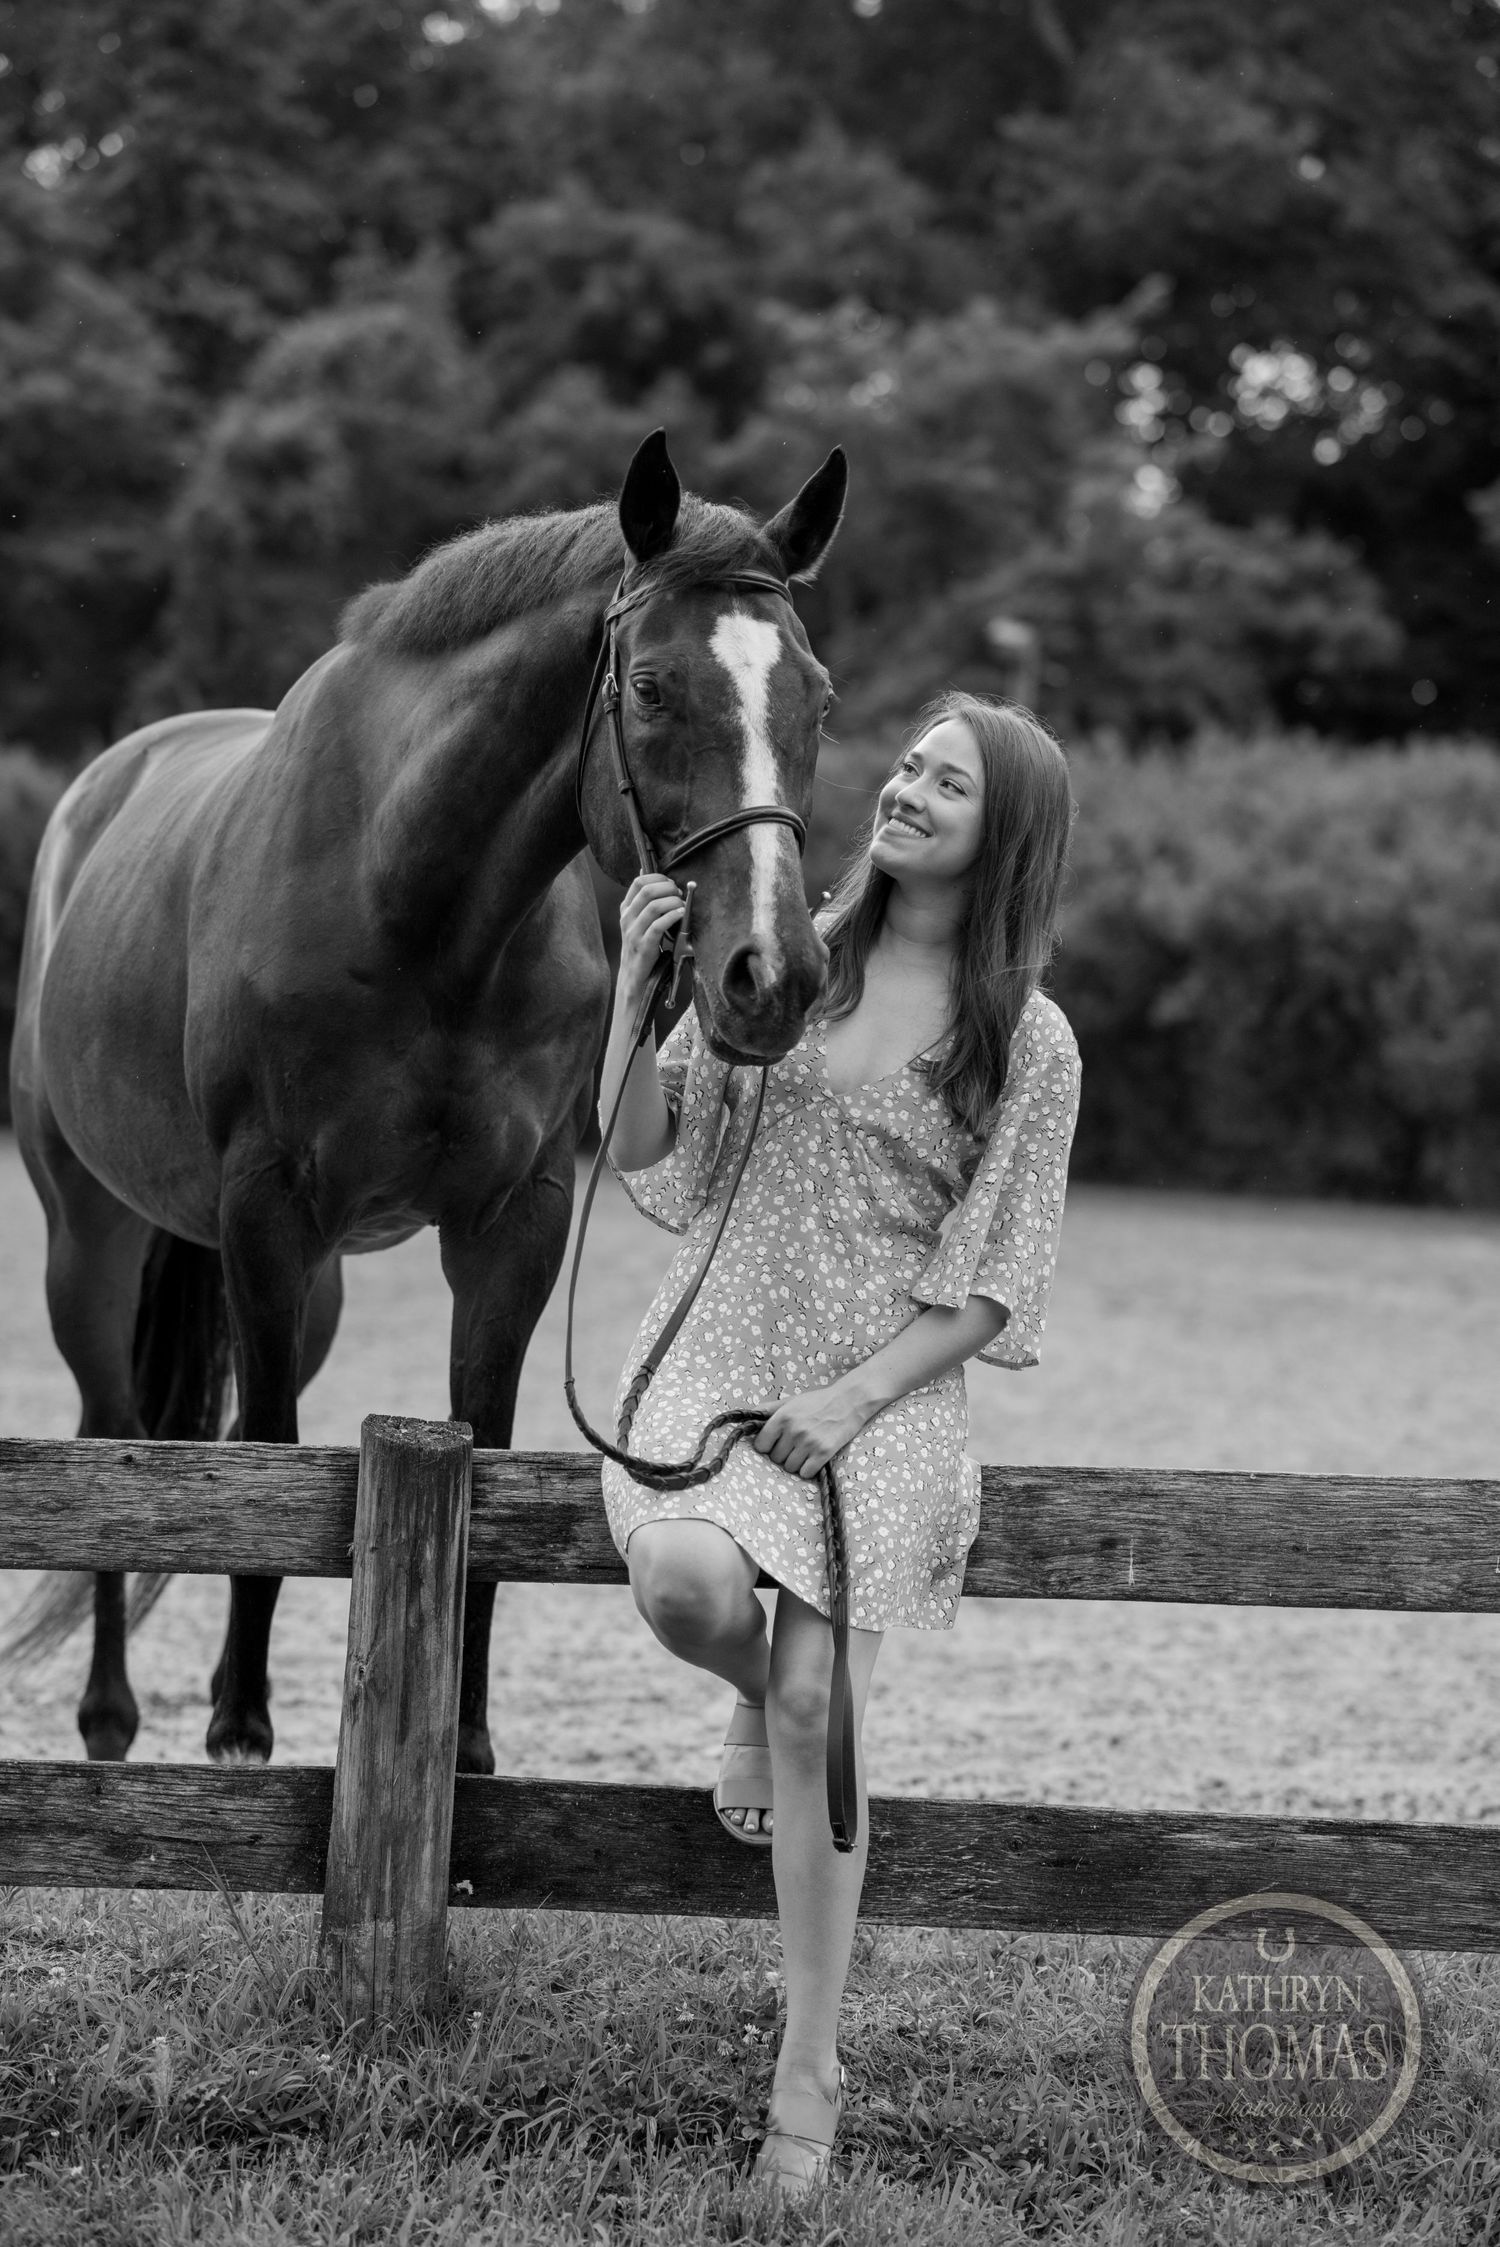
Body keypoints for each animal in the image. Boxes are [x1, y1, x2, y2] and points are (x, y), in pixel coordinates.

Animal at [6, 428, 846, 1772]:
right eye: (652, 688)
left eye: (814, 698)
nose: (769, 976)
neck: (418, 905)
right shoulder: (267, 1210)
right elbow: (268, 1453)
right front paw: (240, 1731)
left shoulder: (515, 1218)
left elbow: (483, 1460)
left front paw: (466, 1748)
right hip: (93, 1236)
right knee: (109, 1436)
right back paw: (110, 1717)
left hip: (313, 1279)